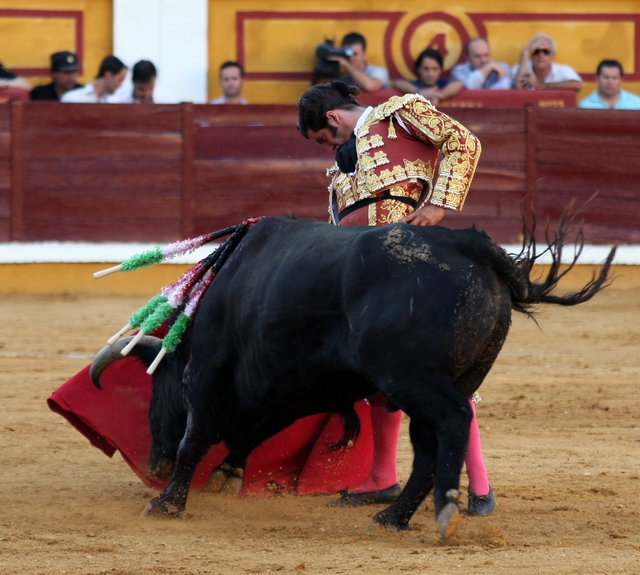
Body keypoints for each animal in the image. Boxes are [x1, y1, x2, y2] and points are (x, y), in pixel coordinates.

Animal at [90, 215, 616, 536]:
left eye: (159, 388)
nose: (154, 465)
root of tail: (468, 243)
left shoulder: (207, 376)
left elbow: (196, 437)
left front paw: (167, 503)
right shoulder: (288, 384)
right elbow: (255, 429)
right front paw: (228, 472)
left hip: (415, 380)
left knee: (453, 424)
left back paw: (443, 511)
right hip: (455, 377)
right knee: (432, 442)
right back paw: (392, 516)